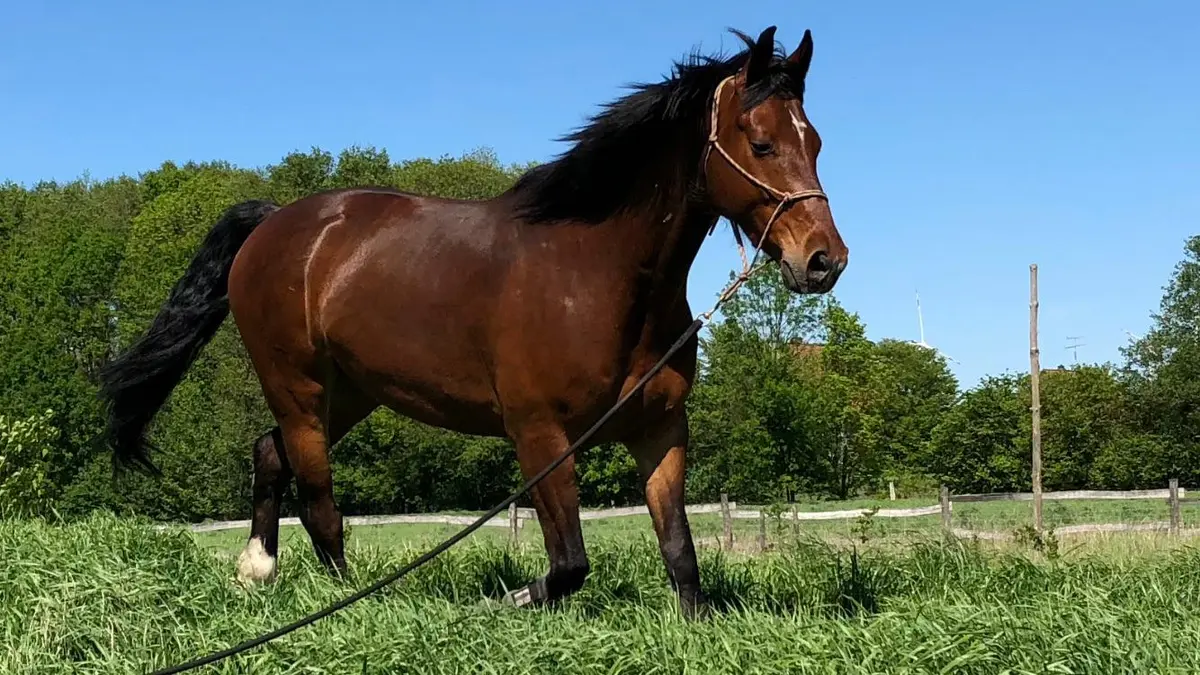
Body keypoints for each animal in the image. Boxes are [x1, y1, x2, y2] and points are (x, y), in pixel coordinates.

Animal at [97, 25, 848, 617]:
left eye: (815, 141)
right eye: (759, 143)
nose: (824, 261)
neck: (595, 275)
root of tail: (274, 223)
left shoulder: (661, 429)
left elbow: (680, 554)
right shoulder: (539, 435)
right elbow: (568, 564)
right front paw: (505, 601)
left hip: (352, 392)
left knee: (269, 453)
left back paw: (257, 571)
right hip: (299, 388)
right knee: (318, 502)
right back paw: (350, 601)